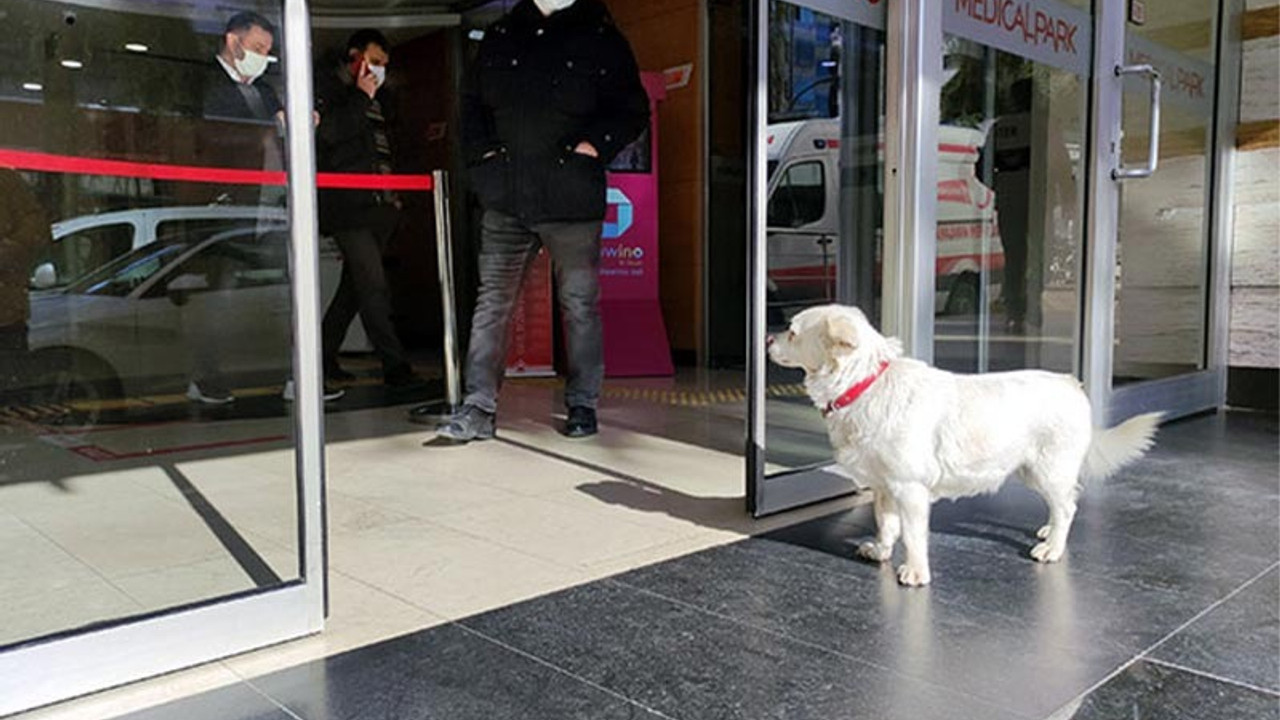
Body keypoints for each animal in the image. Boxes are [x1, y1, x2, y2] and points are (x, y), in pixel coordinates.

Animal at [762, 304, 1167, 586]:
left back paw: (1052, 547)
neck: (865, 384)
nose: (765, 339)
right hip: (1031, 472)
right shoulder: (885, 488)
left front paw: (915, 572)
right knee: (1063, 504)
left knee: (1068, 506)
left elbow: (913, 535)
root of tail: (1073, 384)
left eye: (792, 331)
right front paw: (880, 550)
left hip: (1048, 470)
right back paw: (1048, 531)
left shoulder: (910, 489)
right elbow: (886, 525)